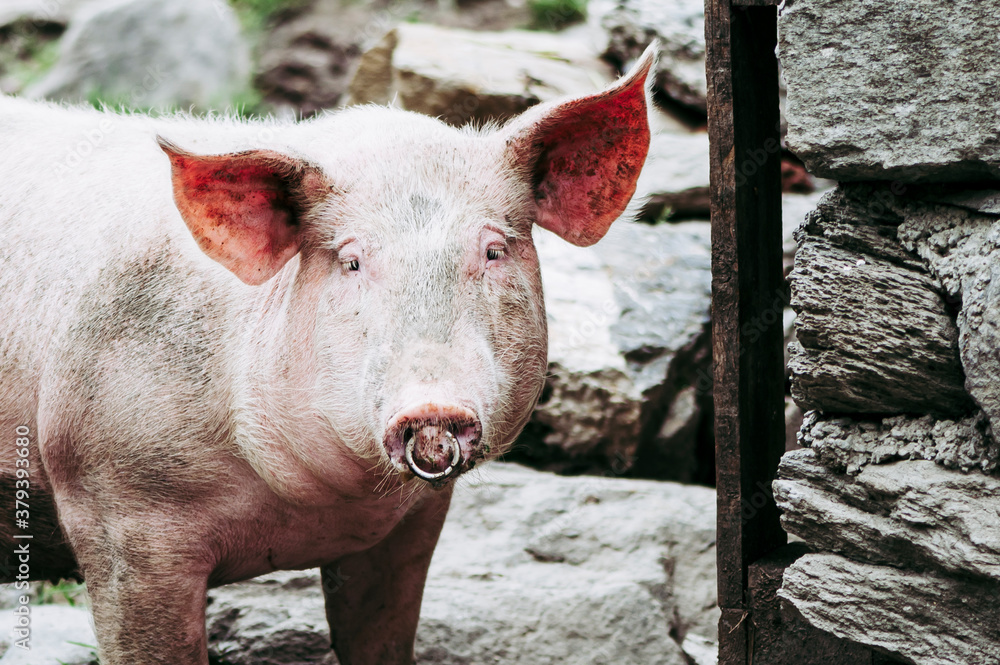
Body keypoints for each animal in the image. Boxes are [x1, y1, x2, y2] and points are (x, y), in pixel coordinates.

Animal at [0, 44, 655, 665]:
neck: (309, 510)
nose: (432, 407)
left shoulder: (409, 524)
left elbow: (381, 638)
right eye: (351, 261)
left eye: (493, 250)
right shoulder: (118, 511)